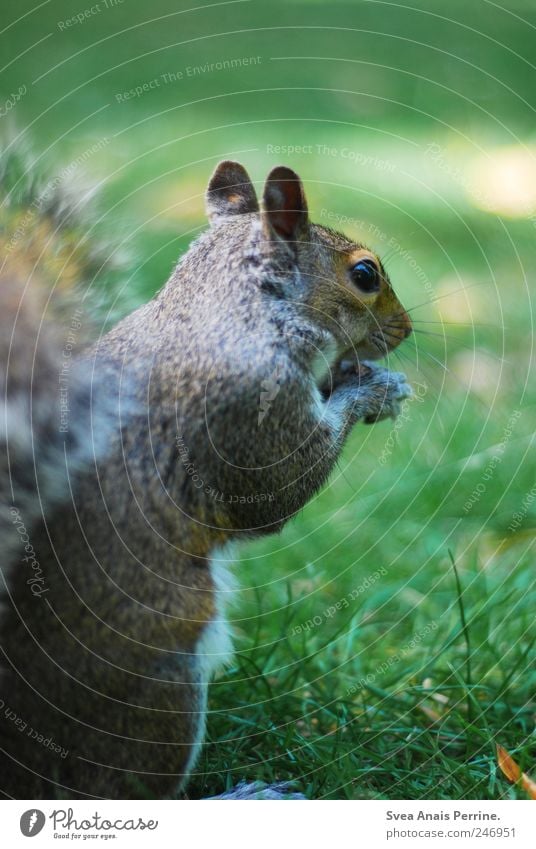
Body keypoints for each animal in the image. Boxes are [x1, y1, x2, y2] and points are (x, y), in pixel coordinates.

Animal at [0, 161, 414, 800]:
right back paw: (243, 797)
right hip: (163, 683)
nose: (407, 329)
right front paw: (372, 391)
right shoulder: (247, 409)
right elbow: (274, 498)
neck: (229, 309)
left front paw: (355, 374)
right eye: (364, 274)